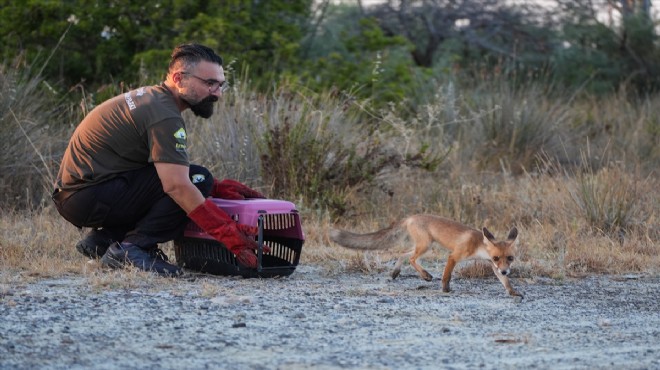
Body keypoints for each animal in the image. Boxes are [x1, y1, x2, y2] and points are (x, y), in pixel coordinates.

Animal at [328, 214, 524, 298]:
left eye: (510, 259)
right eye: (497, 257)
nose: (506, 270)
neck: (478, 246)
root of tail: (411, 216)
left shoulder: (493, 267)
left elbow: (505, 282)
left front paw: (513, 292)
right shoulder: (454, 256)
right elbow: (446, 275)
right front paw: (445, 289)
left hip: (422, 245)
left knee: (403, 254)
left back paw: (396, 272)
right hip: (426, 245)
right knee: (411, 258)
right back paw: (425, 276)